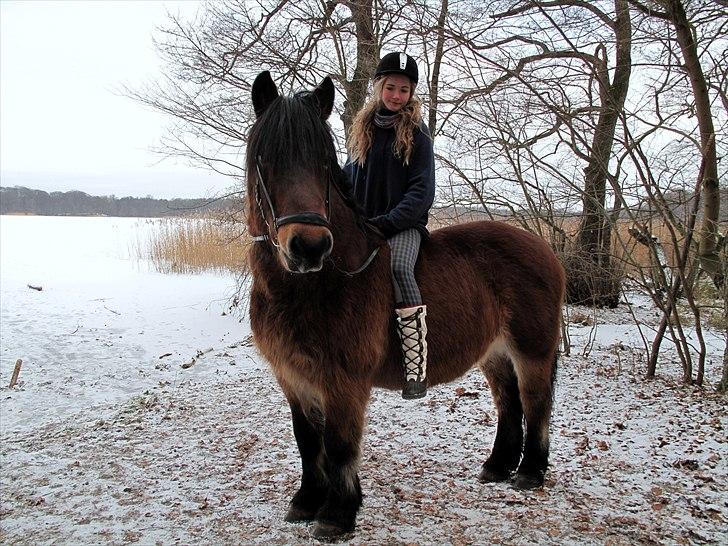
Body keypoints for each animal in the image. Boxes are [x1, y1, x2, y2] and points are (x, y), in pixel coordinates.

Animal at [247, 71, 564, 536]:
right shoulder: (293, 377)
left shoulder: (343, 381)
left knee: (536, 402)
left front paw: (338, 514)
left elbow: (339, 444)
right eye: (266, 160)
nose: (309, 247)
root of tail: (544, 249)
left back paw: (530, 472)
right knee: (509, 402)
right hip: (495, 351)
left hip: (532, 349)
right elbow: (307, 441)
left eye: (324, 163)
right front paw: (306, 502)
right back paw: (497, 466)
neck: (314, 286)